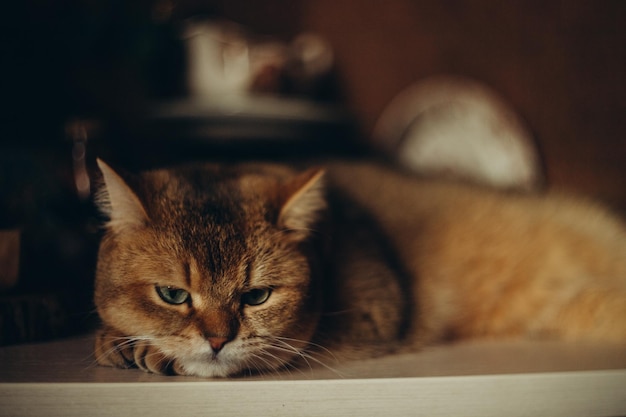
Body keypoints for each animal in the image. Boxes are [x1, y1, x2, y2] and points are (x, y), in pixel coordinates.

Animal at [92, 157, 624, 376]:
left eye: (256, 296)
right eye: (173, 295)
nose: (217, 341)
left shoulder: (375, 314)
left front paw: (151, 351)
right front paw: (113, 340)